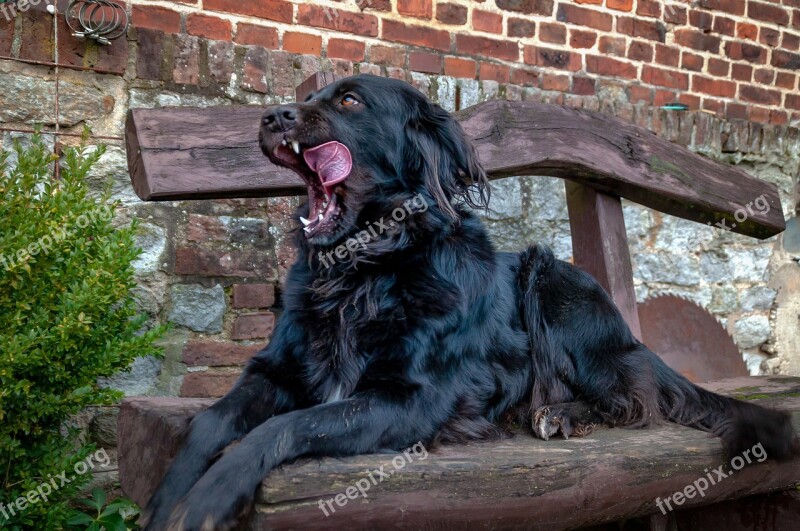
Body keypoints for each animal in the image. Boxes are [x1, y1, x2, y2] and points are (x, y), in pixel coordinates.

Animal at [142, 74, 792, 528]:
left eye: (349, 101)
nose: (271, 116)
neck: (365, 269)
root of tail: (630, 336)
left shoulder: (409, 400)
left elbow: (283, 427)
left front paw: (211, 495)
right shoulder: (276, 369)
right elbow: (212, 419)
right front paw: (169, 493)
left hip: (551, 280)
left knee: (634, 398)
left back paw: (560, 413)